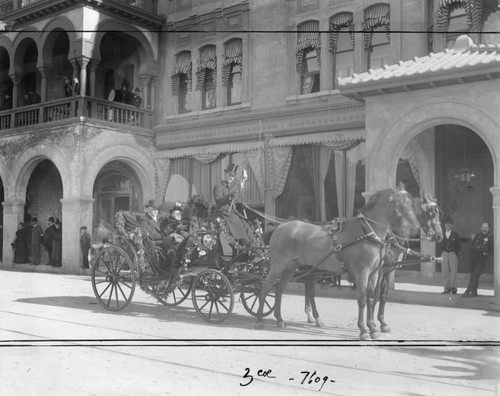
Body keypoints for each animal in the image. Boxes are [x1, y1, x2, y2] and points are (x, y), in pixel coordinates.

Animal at [254, 189, 442, 340]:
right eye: (430, 213)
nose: (439, 236)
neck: (368, 233)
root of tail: (280, 227)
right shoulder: (364, 272)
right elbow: (364, 299)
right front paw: (365, 330)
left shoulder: (376, 272)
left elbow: (373, 297)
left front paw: (374, 327)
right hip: (278, 264)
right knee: (267, 286)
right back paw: (260, 320)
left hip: (293, 266)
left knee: (281, 288)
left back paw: (282, 319)